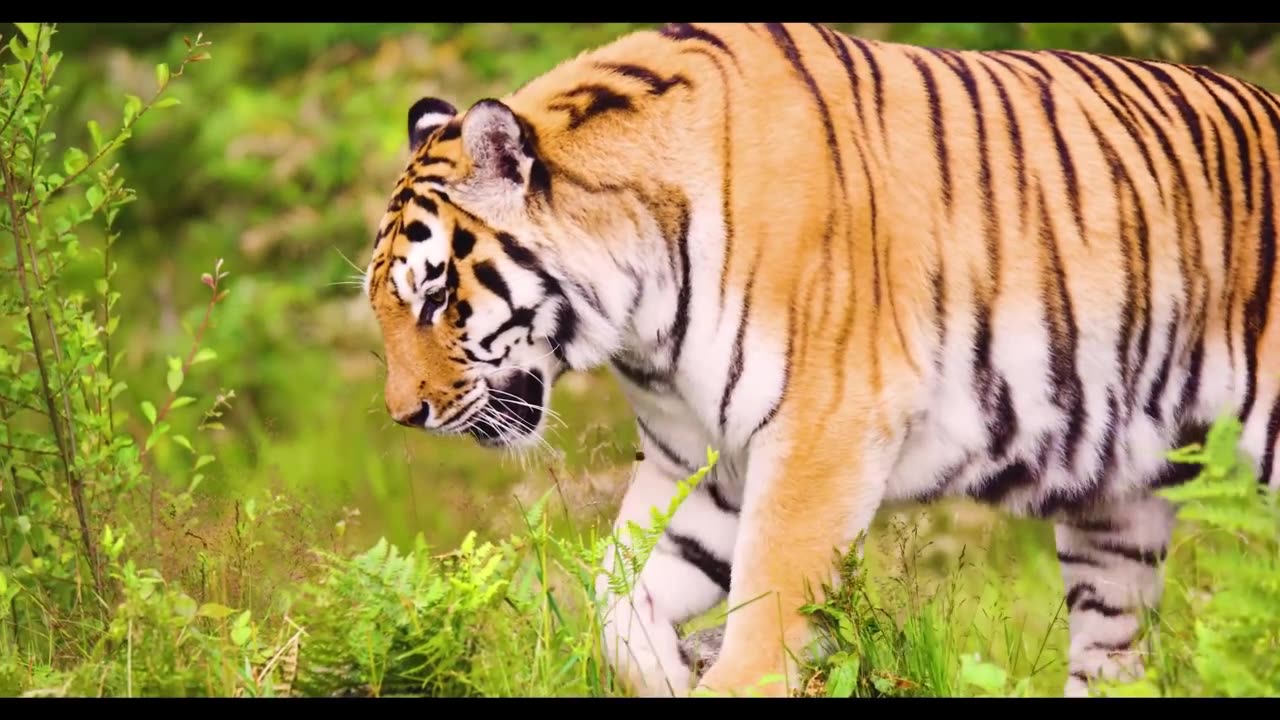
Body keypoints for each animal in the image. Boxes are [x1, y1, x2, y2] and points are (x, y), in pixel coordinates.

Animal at [360, 23, 1280, 696]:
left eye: (433, 294)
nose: (405, 414)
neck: (636, 323)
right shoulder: (702, 462)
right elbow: (616, 597)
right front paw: (667, 671)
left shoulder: (821, 433)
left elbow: (763, 627)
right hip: (1116, 520)